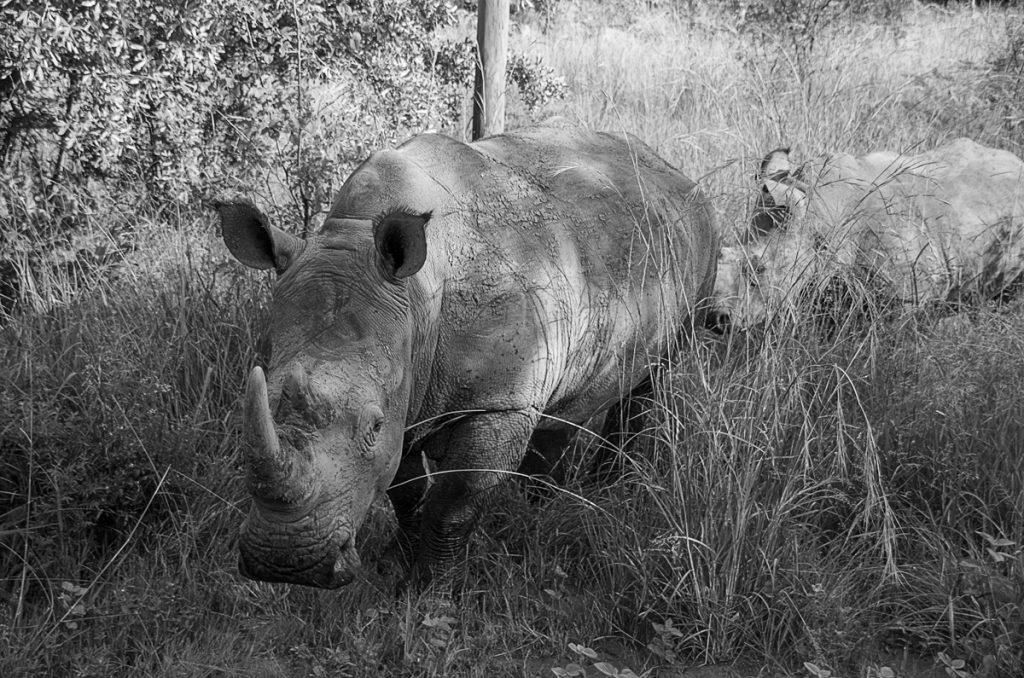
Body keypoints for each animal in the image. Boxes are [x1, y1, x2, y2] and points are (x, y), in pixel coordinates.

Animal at [218, 127, 712, 589]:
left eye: (373, 426)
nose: (286, 563)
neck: (417, 298)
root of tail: (669, 167)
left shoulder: (498, 402)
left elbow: (453, 504)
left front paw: (430, 591)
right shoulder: (408, 392)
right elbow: (407, 491)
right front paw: (396, 563)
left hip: (699, 244)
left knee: (651, 378)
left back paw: (606, 488)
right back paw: (537, 506)